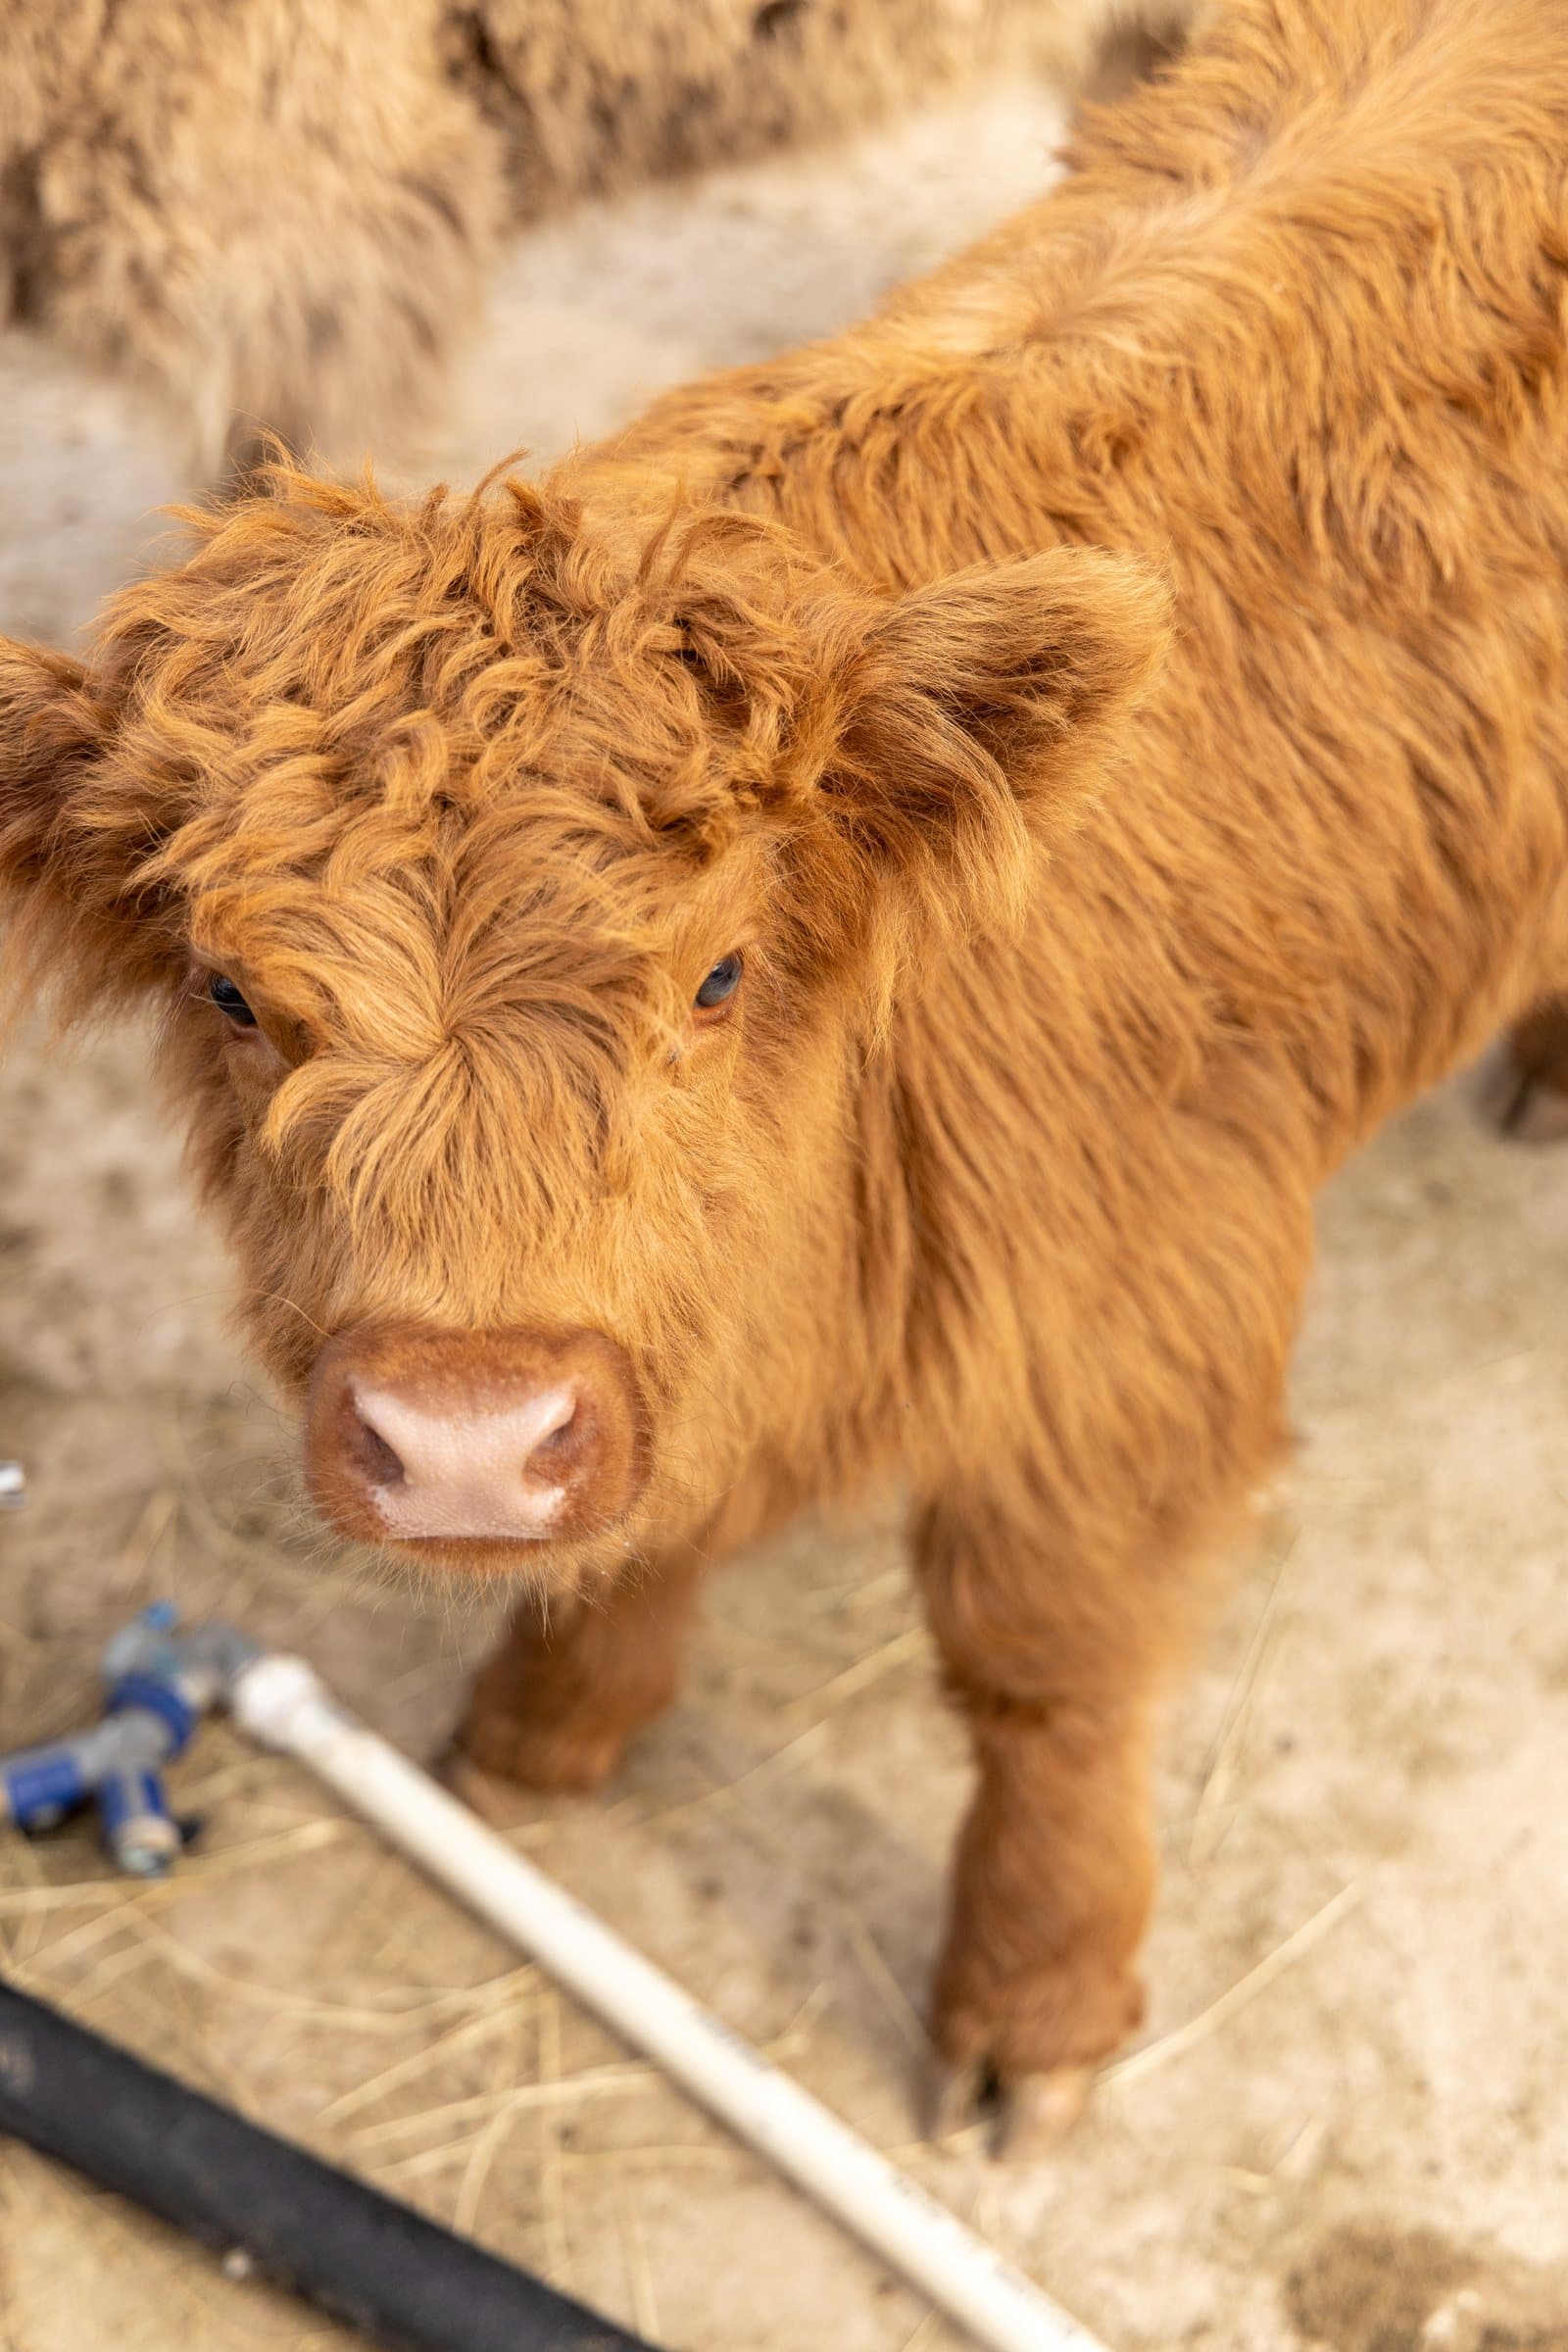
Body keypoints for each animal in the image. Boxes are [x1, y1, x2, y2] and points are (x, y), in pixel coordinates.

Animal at [2, 0, 1566, 2150]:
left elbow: (1045, 1683)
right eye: (232, 991)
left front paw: (1031, 2014)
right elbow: (639, 1538)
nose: (464, 1438)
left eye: (720, 972)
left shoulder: (1119, 1350)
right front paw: (538, 1736)